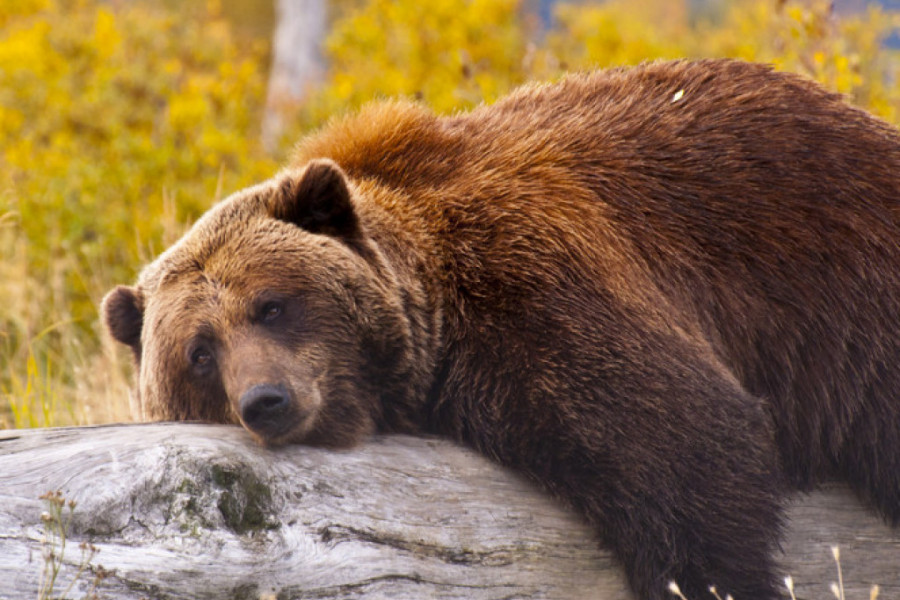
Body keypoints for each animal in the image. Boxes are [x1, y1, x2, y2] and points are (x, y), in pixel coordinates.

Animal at [100, 59, 900, 600]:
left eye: (271, 305)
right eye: (200, 353)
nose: (266, 400)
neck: (441, 318)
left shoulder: (537, 282)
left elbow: (688, 445)